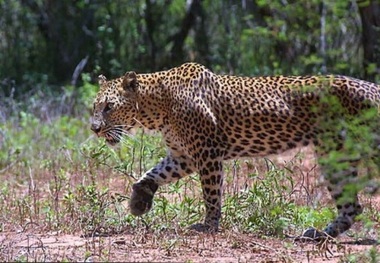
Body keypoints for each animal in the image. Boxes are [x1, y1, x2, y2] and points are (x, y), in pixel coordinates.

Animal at [91, 63, 380, 240]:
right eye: (95, 106)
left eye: (108, 106)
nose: (94, 128)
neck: (157, 107)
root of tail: (373, 88)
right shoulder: (184, 156)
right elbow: (153, 173)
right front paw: (139, 201)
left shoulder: (207, 153)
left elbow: (211, 194)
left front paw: (208, 226)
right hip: (335, 154)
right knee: (352, 207)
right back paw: (318, 234)